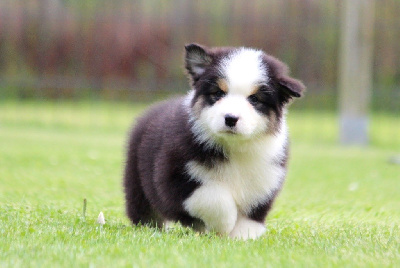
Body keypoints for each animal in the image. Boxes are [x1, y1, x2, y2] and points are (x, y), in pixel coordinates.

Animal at [123, 44, 304, 241]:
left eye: (254, 99)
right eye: (218, 93)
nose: (231, 118)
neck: (235, 147)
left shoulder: (265, 179)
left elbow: (251, 216)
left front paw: (242, 236)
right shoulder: (175, 177)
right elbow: (216, 199)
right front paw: (223, 227)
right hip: (138, 183)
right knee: (146, 212)